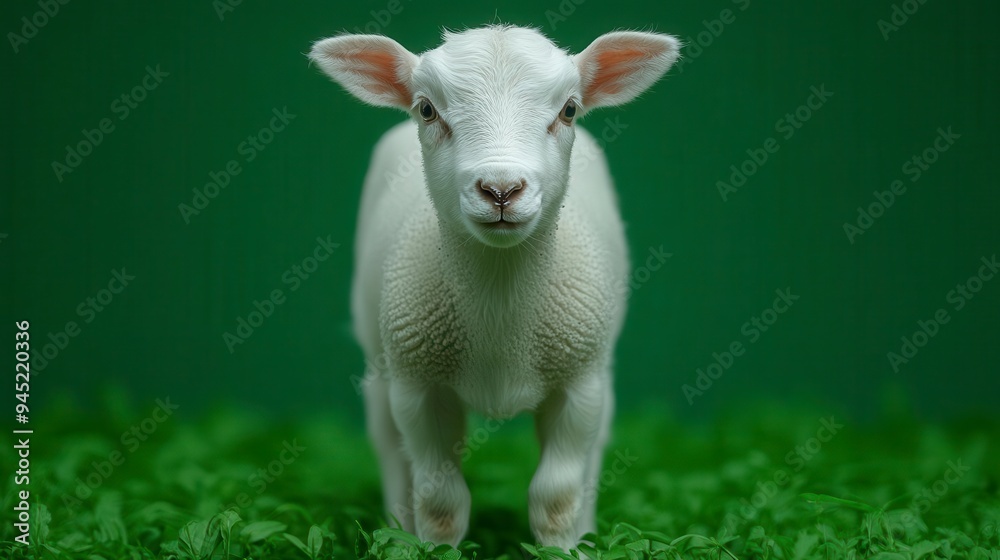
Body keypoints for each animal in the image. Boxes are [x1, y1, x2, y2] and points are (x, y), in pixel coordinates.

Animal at [309, 25, 679, 549]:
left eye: (569, 109)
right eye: (427, 109)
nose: (501, 190)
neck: (500, 313)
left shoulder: (580, 384)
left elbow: (556, 496)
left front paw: (564, 550)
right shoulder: (417, 385)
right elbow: (441, 499)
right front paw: (434, 550)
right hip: (382, 361)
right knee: (391, 449)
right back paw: (397, 532)